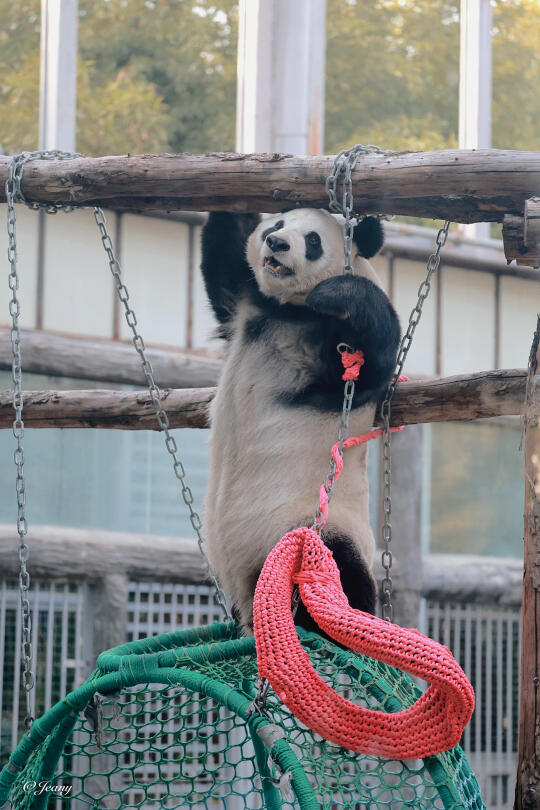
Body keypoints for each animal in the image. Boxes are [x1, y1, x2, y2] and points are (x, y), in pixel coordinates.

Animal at [201, 210, 400, 632]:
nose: (277, 244)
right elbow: (225, 258)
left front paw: (339, 292)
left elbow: (373, 365)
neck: (289, 309)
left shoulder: (328, 338)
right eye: (277, 225)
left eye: (313, 240)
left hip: (311, 523)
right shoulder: (249, 301)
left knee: (341, 574)